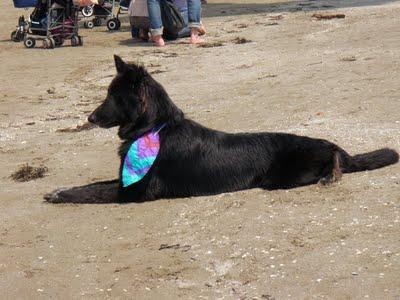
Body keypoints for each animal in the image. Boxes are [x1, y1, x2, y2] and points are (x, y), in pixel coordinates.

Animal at [43, 55, 396, 203]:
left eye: (113, 97)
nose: (89, 119)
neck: (154, 128)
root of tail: (331, 144)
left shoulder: (132, 190)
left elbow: (91, 191)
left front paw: (60, 194)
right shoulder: (122, 180)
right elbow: (94, 183)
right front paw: (59, 189)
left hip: (282, 178)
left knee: (333, 161)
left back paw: (331, 174)